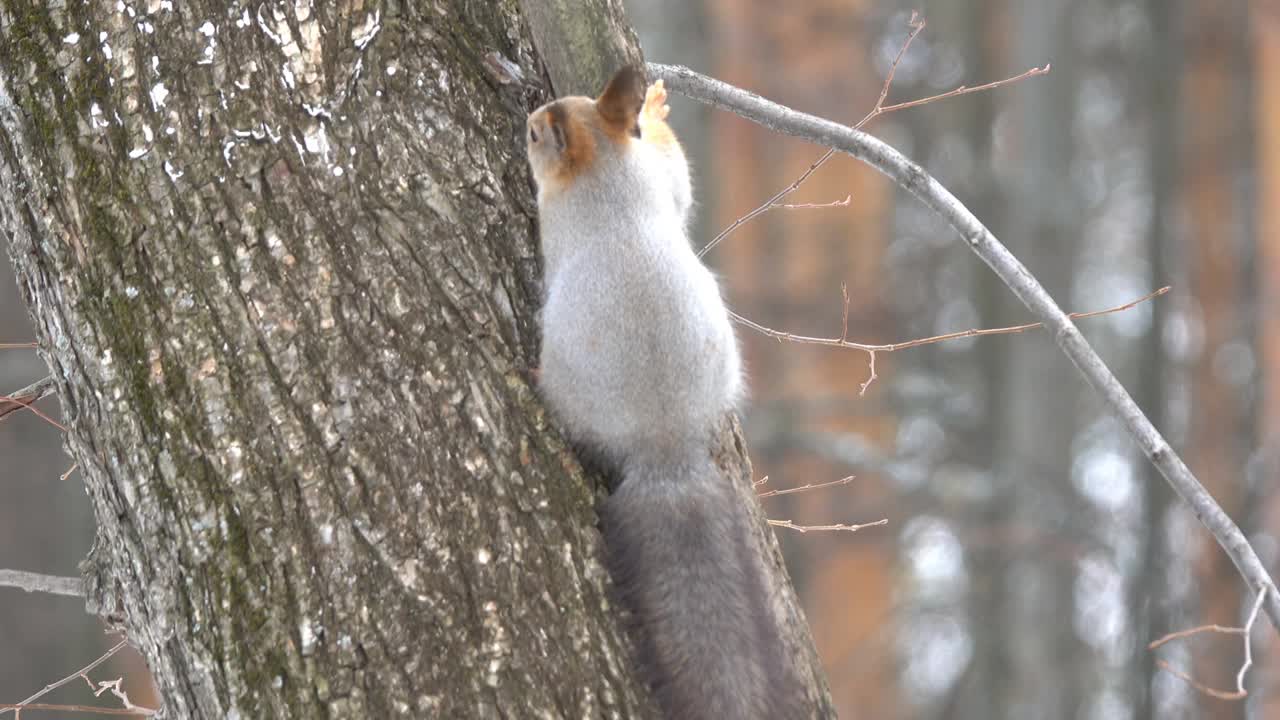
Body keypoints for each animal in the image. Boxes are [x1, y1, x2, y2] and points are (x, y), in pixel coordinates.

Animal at [524, 64, 803, 712]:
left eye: (537, 134)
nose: (526, 118)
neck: (605, 172)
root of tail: (665, 444)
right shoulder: (653, 174)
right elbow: (677, 179)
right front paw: (652, 108)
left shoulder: (556, 212)